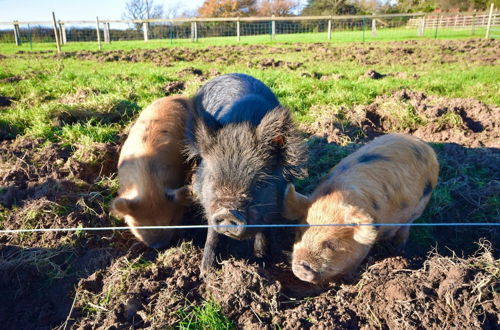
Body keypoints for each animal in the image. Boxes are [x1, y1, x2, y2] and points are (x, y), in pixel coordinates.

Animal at [187, 73, 306, 274]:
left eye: (260, 182)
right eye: (212, 178)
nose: (229, 212)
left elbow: (264, 230)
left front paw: (261, 261)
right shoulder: (209, 205)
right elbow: (212, 235)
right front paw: (206, 273)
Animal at [284, 134, 440, 284]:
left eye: (330, 244)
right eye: (299, 233)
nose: (300, 268)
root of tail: (424, 144)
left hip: (420, 205)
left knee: (406, 227)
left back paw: (397, 247)